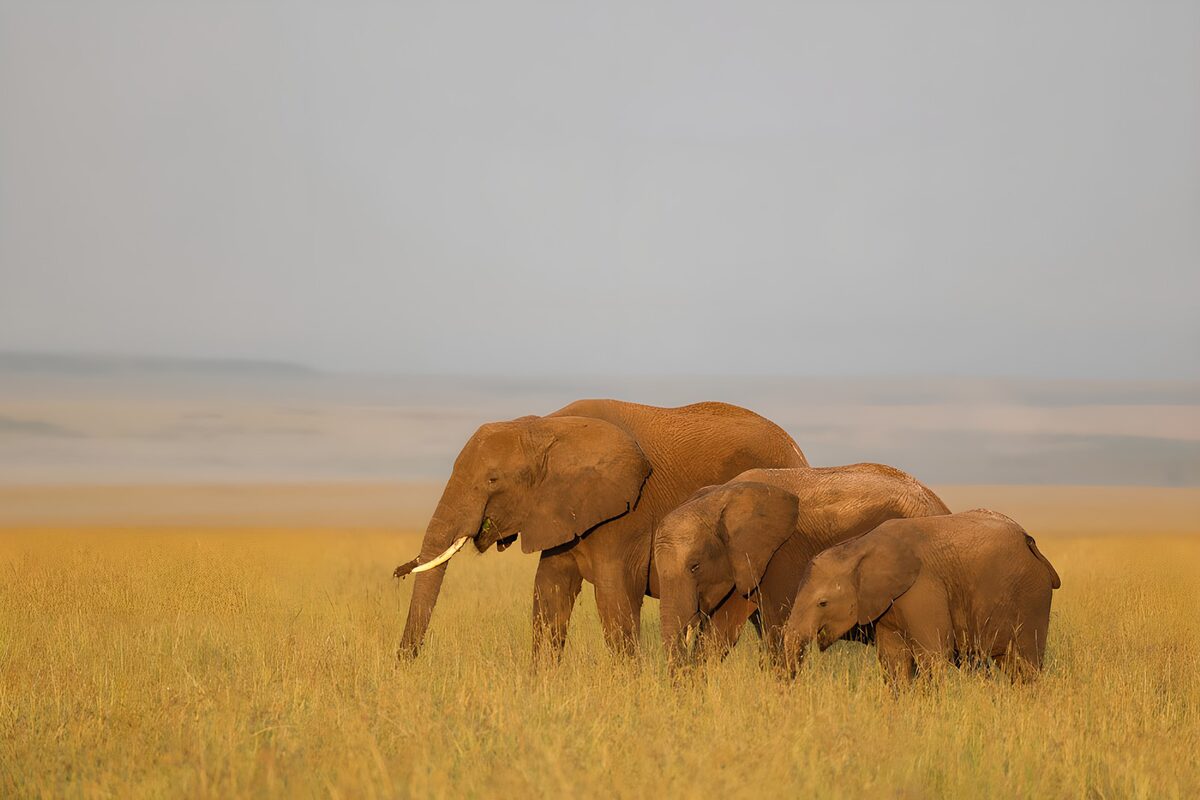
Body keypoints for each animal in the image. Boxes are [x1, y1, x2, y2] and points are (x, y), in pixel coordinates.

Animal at [392, 399, 808, 660]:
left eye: (493, 480)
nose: (404, 664)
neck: (544, 427)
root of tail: (797, 450)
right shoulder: (561, 510)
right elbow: (549, 595)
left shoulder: (625, 512)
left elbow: (614, 601)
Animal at [654, 463, 950, 668]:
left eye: (695, 566)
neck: (720, 496)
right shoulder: (742, 563)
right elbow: (719, 634)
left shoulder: (778, 557)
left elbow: (779, 631)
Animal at [782, 509, 1061, 682]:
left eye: (823, 603)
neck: (858, 547)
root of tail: (1031, 542)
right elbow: (893, 659)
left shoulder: (923, 588)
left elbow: (932, 654)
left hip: (1031, 596)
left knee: (1025, 663)